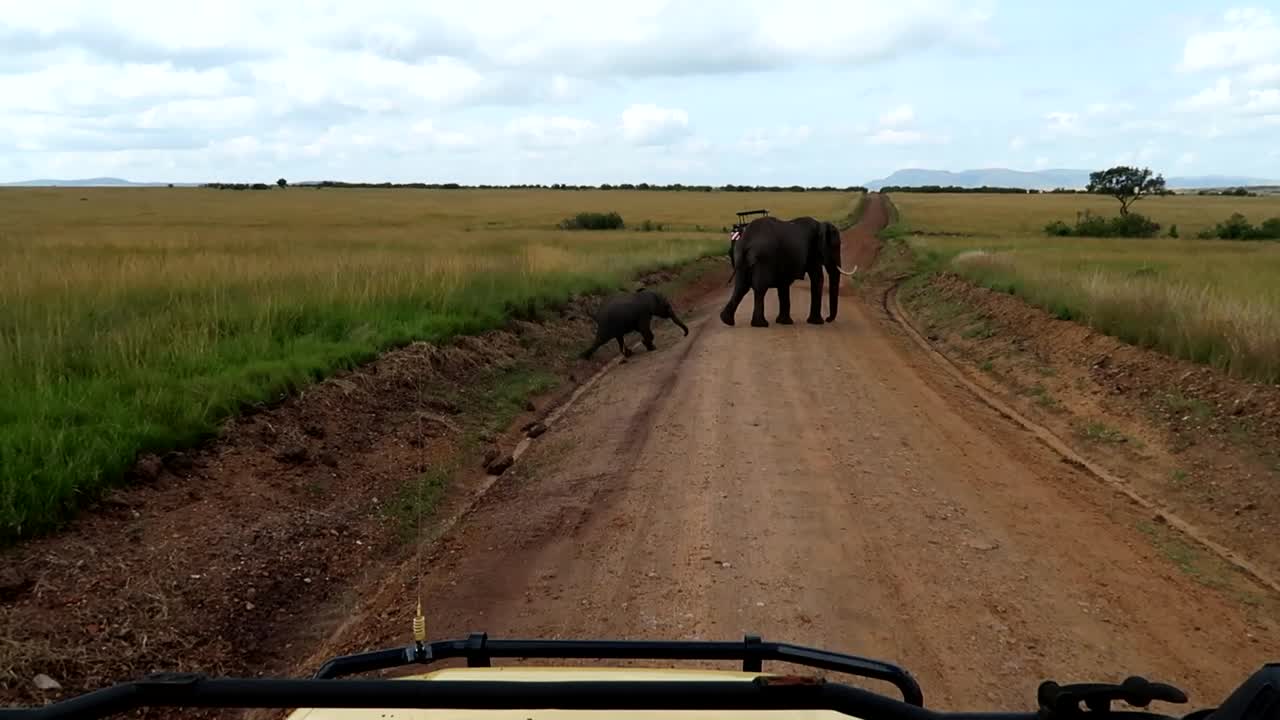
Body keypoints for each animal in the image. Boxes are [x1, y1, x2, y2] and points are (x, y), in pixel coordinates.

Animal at [720, 216, 858, 328]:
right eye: (835, 246)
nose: (828, 319)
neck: (821, 224)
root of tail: (746, 240)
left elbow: (784, 285)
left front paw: (784, 322)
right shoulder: (812, 251)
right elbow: (817, 278)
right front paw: (817, 322)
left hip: (741, 257)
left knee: (741, 287)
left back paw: (726, 321)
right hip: (763, 258)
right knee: (760, 288)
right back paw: (761, 324)